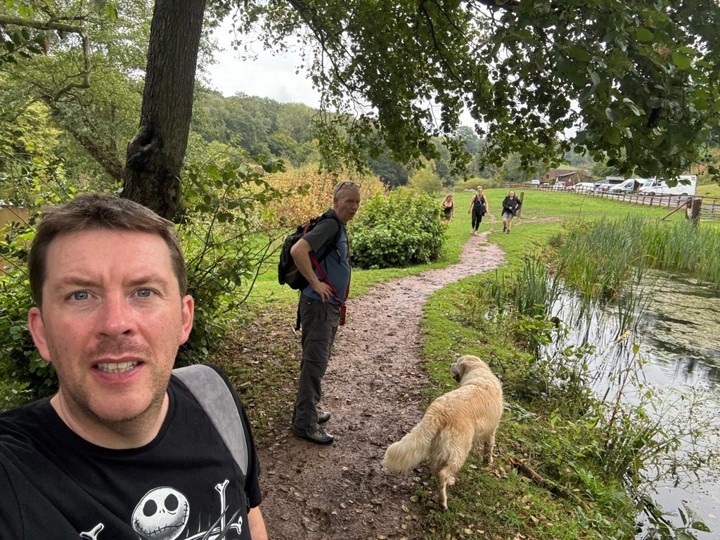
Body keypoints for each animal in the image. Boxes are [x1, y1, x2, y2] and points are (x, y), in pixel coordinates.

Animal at [382, 355, 503, 509]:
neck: (478, 371)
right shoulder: (492, 429)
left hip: (438, 447)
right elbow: (489, 447)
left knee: (438, 470)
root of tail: (439, 412)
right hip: (459, 450)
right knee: (443, 473)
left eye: (457, 362)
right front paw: (488, 462)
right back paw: (443, 501)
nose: (450, 364)